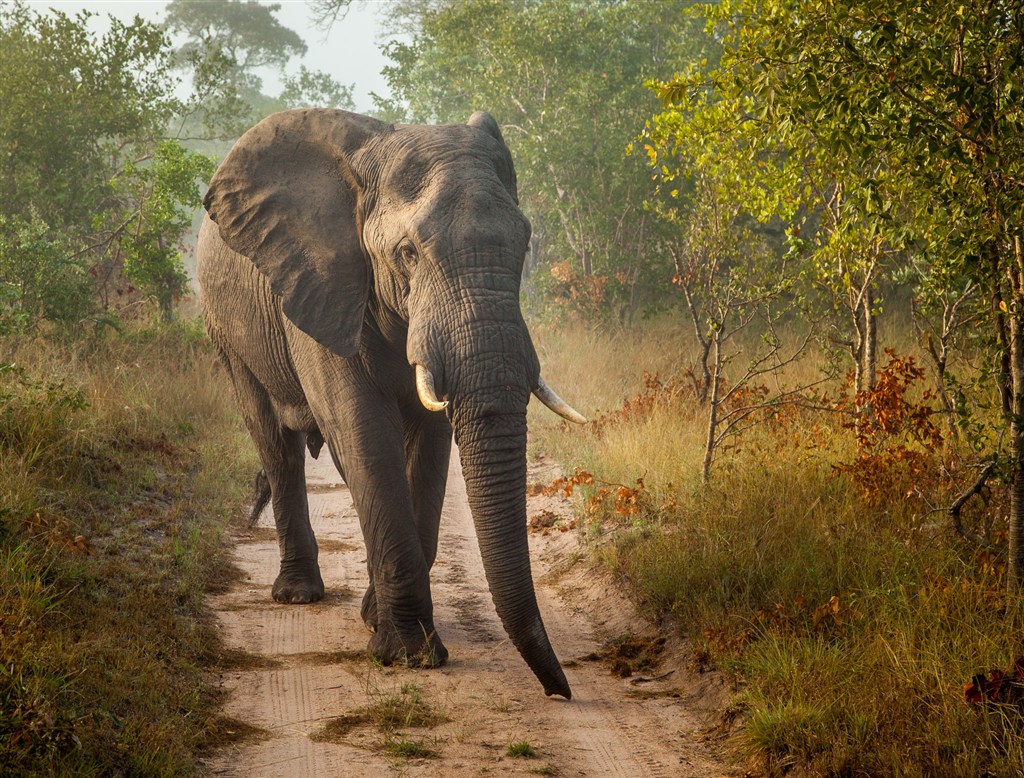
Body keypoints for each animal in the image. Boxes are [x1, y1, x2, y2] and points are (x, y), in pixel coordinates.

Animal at [197, 107, 585, 700]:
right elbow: (363, 430)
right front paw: (409, 655)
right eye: (407, 254)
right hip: (228, 330)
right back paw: (298, 594)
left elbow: (425, 446)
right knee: (275, 442)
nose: (560, 692)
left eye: (523, 248)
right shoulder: (323, 283)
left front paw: (386, 628)